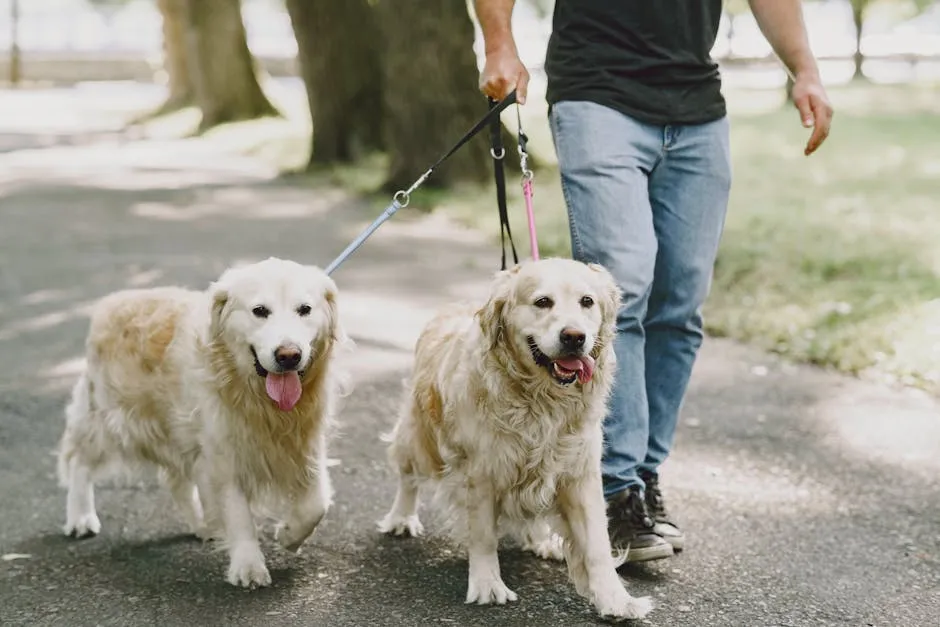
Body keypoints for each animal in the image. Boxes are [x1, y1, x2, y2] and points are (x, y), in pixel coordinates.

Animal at [56, 255, 348, 588]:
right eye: (260, 311)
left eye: (305, 309)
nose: (289, 355)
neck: (259, 401)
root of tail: (113, 301)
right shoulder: (224, 454)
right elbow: (238, 514)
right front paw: (248, 565)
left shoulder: (306, 445)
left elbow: (316, 504)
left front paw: (289, 535)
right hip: (112, 419)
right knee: (78, 459)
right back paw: (80, 517)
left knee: (177, 481)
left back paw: (203, 523)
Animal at [374, 258, 652, 620]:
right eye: (542, 302)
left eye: (587, 302)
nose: (574, 337)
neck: (542, 400)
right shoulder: (480, 473)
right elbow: (483, 535)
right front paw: (487, 584)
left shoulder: (579, 473)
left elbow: (597, 545)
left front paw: (616, 598)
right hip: (419, 435)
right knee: (407, 474)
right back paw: (402, 518)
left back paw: (542, 540)